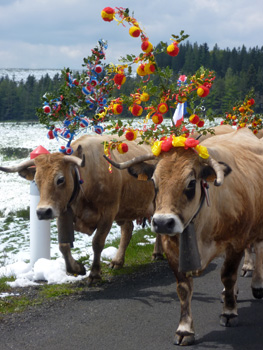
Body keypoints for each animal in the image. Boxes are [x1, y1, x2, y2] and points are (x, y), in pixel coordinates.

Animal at [0, 133, 162, 282]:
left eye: (60, 179)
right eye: (36, 181)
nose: (42, 212)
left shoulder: (108, 213)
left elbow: (97, 242)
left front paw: (94, 273)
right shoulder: (62, 211)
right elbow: (63, 245)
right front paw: (76, 268)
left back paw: (157, 253)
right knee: (127, 230)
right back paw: (117, 261)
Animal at [106, 127, 263, 346]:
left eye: (191, 183)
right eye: (154, 181)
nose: (162, 222)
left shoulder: (236, 242)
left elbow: (228, 275)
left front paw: (229, 312)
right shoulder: (172, 249)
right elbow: (183, 288)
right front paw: (184, 329)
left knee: (259, 249)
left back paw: (257, 284)